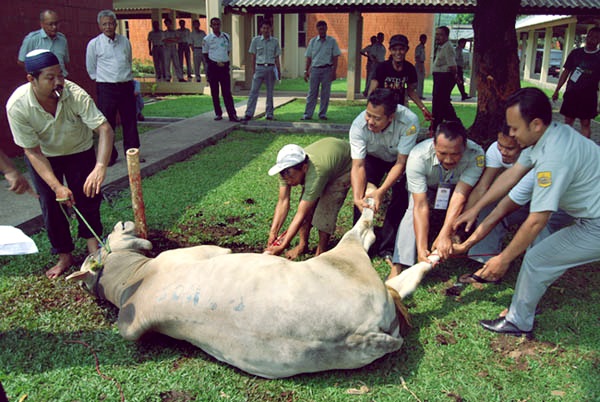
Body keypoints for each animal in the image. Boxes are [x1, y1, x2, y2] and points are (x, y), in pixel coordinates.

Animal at [65, 206, 412, 378]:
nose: (121, 222)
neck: (132, 281)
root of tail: (364, 335)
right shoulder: (197, 253)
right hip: (346, 257)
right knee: (361, 235)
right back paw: (370, 207)